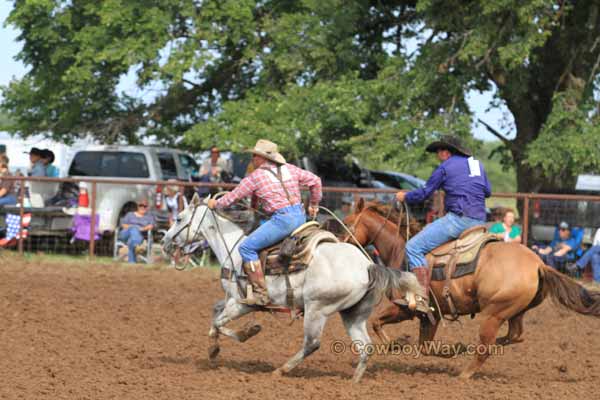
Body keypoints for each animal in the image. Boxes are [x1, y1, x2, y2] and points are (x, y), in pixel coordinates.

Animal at [161, 195, 422, 382]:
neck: (234, 250)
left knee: (312, 343)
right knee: (365, 346)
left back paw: (281, 370)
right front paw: (215, 348)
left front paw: (244, 334)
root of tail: (368, 265)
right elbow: (215, 315)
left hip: (317, 309)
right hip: (353, 314)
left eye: (179, 218)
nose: (164, 242)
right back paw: (353, 383)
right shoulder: (232, 300)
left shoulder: (241, 303)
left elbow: (217, 322)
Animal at [344, 200, 600, 378]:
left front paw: (393, 344)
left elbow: (376, 321)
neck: (400, 250)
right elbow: (424, 346)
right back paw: (471, 348)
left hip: (494, 313)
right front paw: (452, 349)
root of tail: (539, 264)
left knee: (486, 347)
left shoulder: (407, 308)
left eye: (347, 223)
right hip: (515, 312)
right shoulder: (432, 315)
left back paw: (464, 374)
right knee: (515, 335)